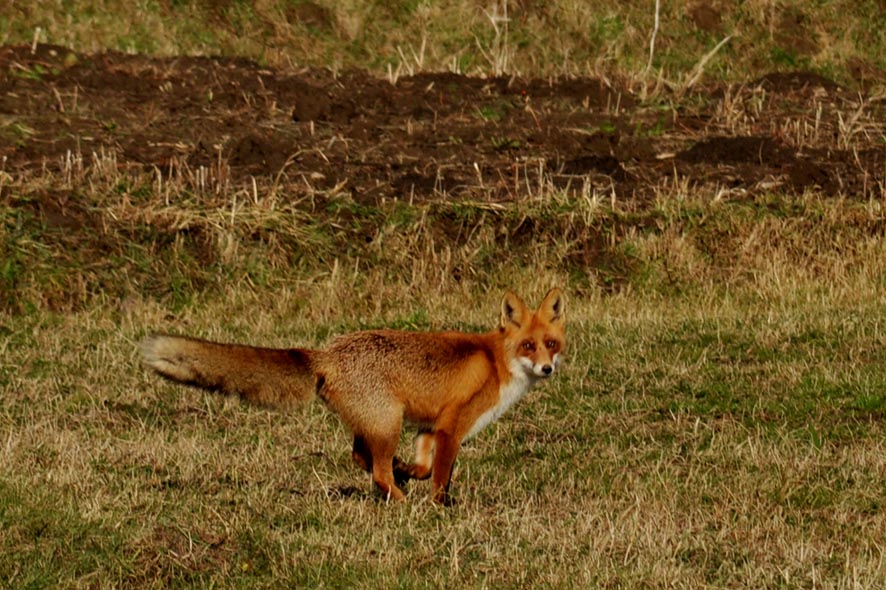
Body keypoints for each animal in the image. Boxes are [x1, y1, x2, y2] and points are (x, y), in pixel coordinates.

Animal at [141, 290, 564, 506]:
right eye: (528, 346)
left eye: (552, 344)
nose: (547, 369)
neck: (496, 361)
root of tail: (328, 352)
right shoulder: (451, 428)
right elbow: (440, 477)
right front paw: (439, 507)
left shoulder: (428, 428)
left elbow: (424, 468)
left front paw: (411, 472)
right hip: (388, 422)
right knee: (375, 469)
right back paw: (400, 499)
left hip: (377, 424)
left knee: (362, 458)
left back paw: (396, 481)